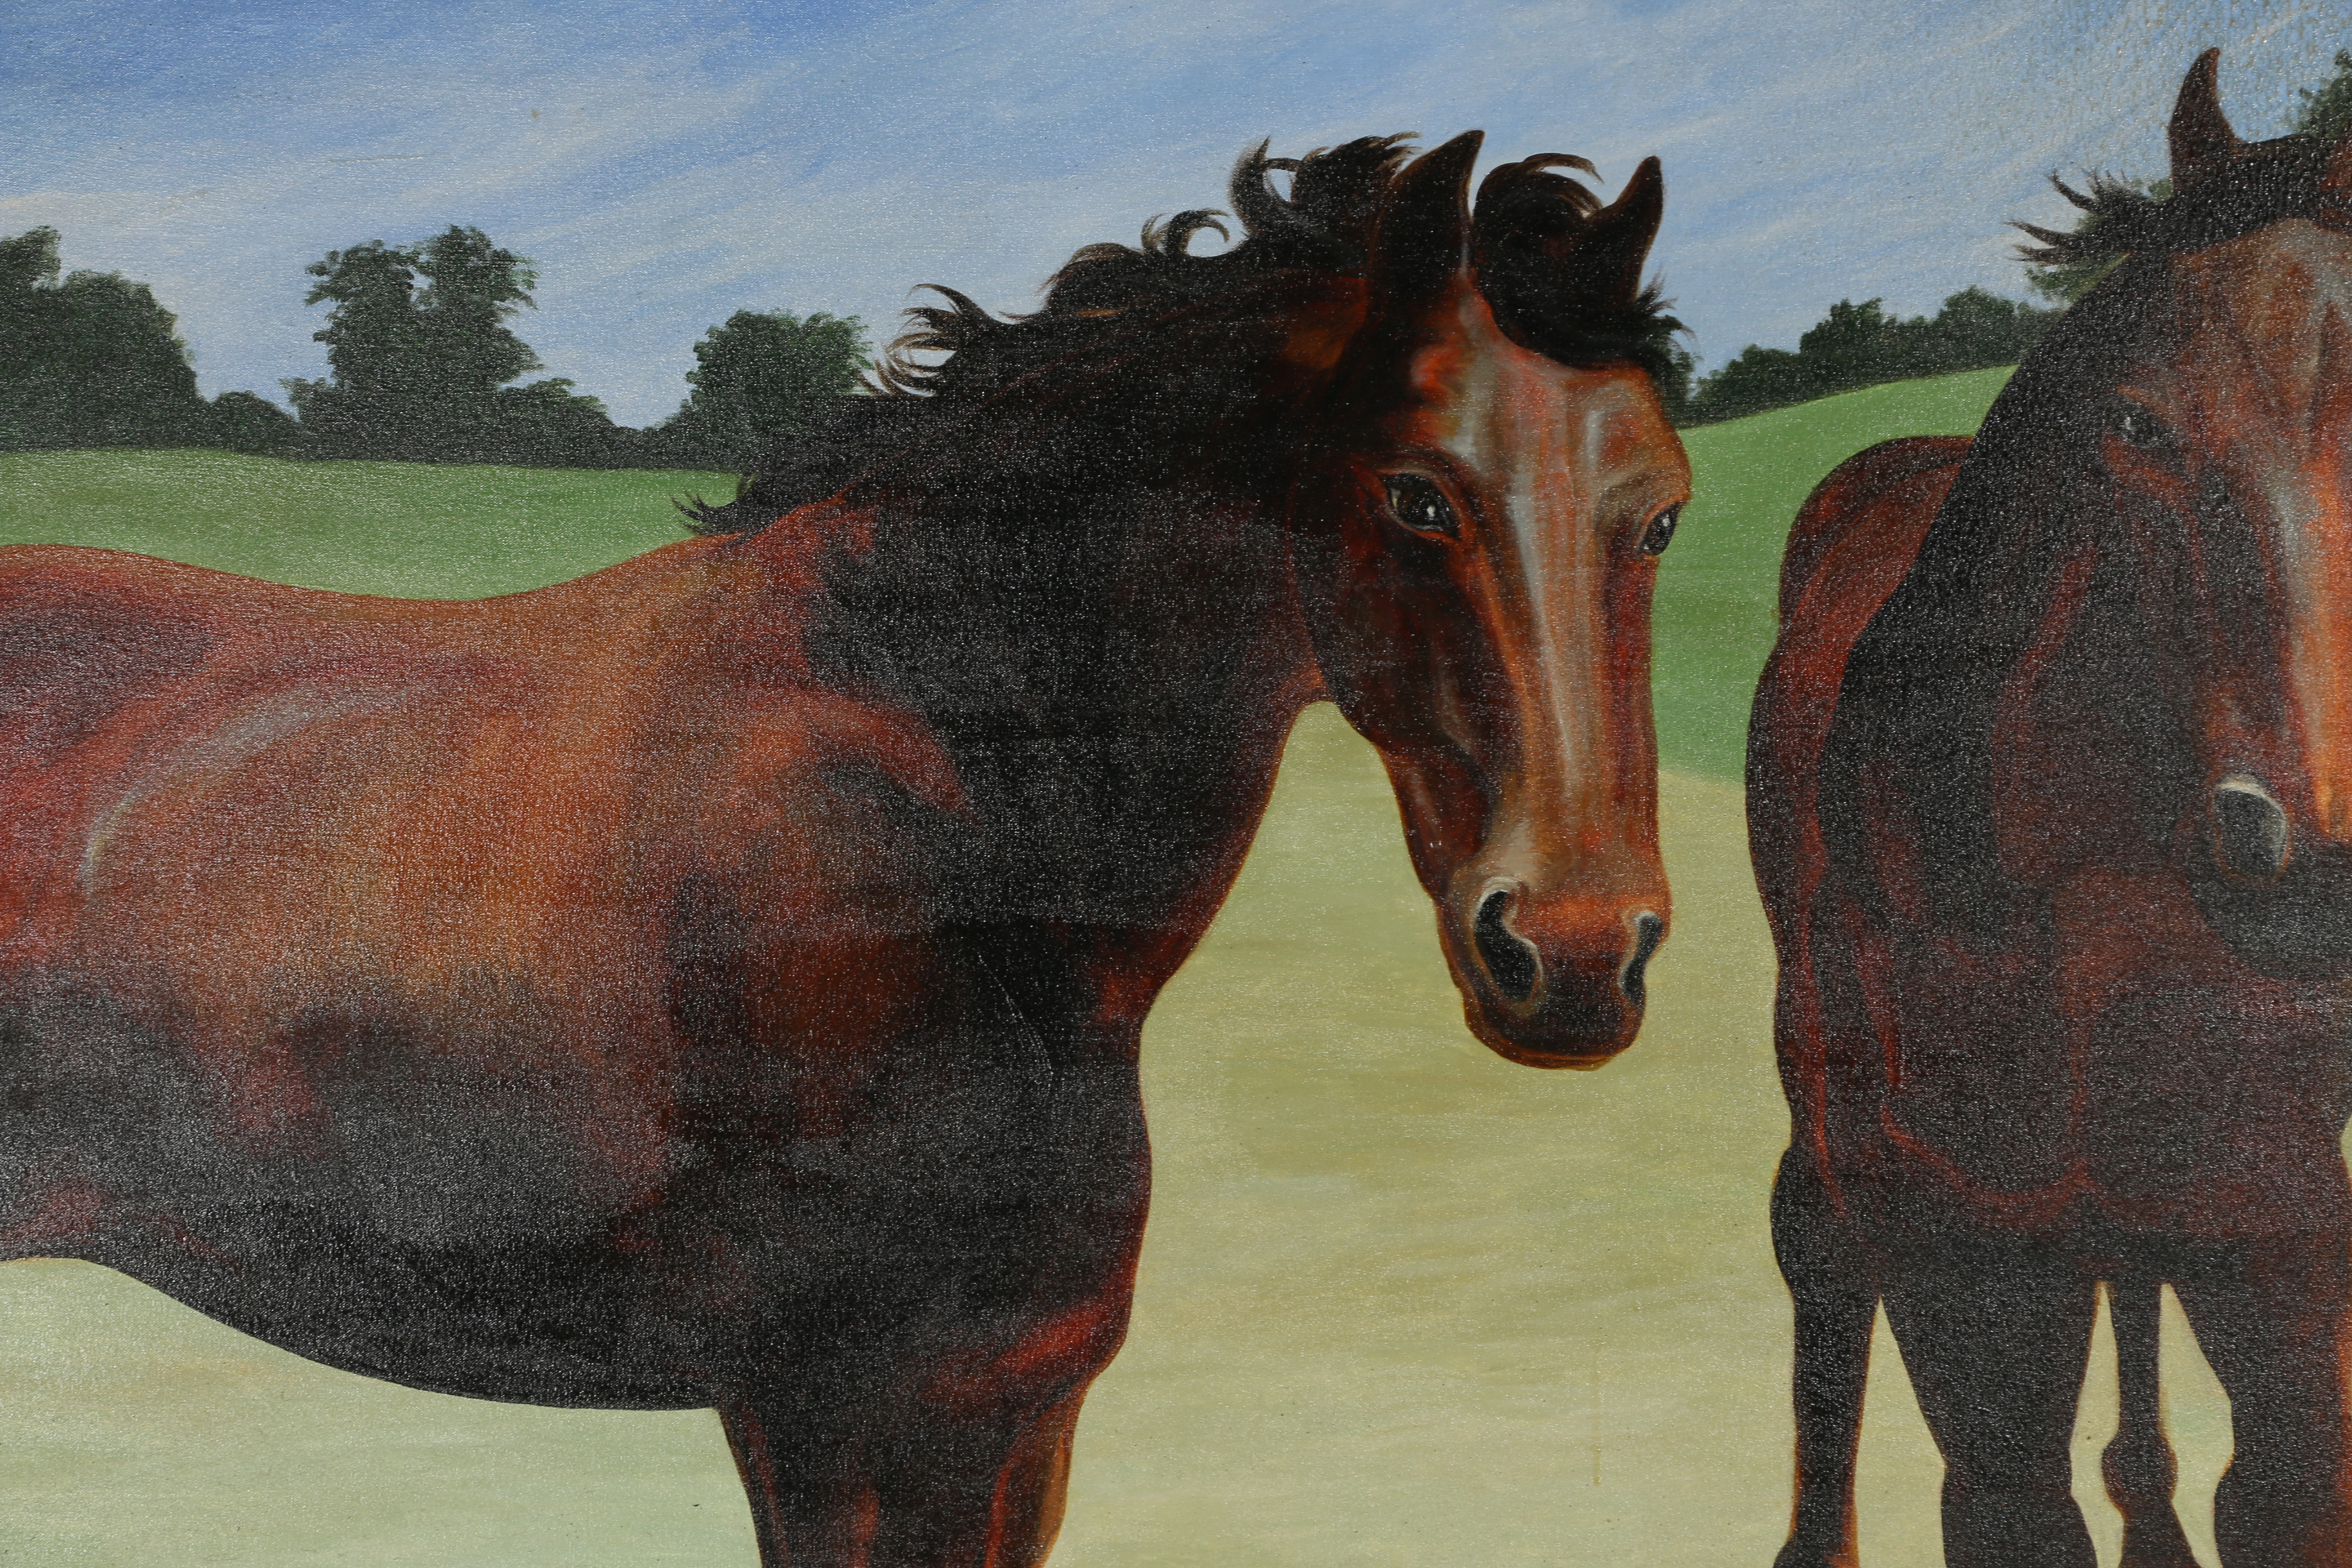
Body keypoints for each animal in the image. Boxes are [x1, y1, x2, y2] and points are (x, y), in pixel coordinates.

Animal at [0, 131, 1690, 1565]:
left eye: (1661, 511)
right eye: (1417, 496)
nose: (1575, 953)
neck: (939, 810)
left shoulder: (1009, 1417)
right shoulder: (842, 1423)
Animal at [1751, 51, 2352, 1568]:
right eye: (2136, 424)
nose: (2315, 864)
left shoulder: (2275, 1239)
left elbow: (2283, 1486)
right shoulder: (1975, 1283)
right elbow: (2005, 1488)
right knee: (1814, 1241)